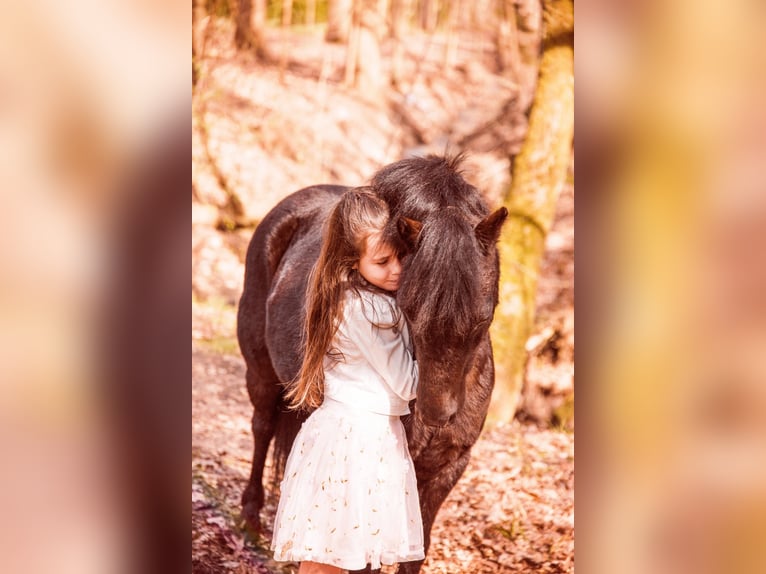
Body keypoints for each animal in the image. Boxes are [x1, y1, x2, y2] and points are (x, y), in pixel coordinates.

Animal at [237, 155, 508, 572]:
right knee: (262, 427)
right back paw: (251, 516)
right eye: (408, 310)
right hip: (261, 374)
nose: (437, 414)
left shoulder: (445, 467)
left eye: (483, 317)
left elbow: (416, 552)